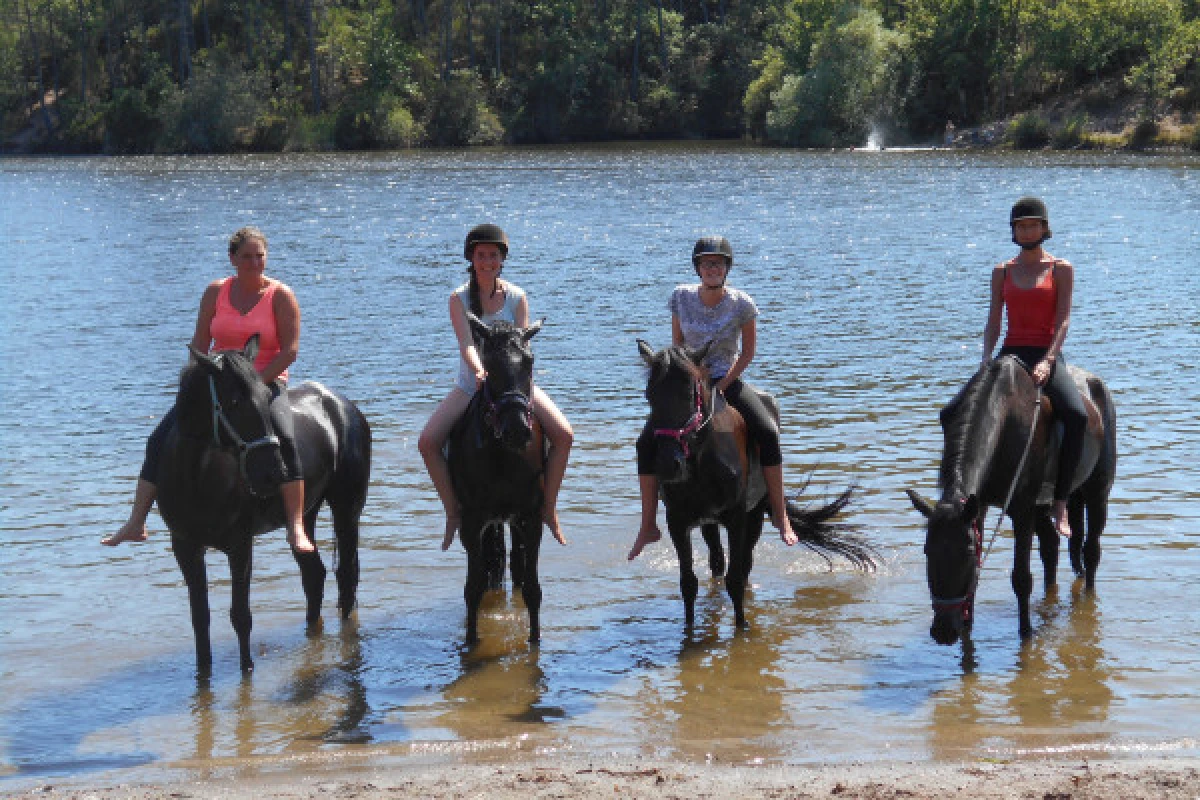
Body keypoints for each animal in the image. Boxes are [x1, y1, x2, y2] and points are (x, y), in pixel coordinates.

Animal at [157, 338, 369, 676]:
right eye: (232, 402)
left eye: (265, 399)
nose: (274, 473)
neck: (197, 478)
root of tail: (343, 405)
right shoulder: (185, 547)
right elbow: (200, 619)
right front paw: (203, 674)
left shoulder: (240, 546)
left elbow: (241, 616)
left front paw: (247, 672)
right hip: (304, 516)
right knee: (314, 576)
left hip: (347, 509)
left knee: (346, 576)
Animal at [448, 311, 547, 642]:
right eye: (488, 364)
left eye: (529, 361)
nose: (517, 429)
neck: (503, 453)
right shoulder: (471, 523)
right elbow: (472, 588)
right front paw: (471, 640)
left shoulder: (531, 519)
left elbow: (532, 589)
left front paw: (534, 640)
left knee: (516, 568)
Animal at [633, 338, 878, 633]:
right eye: (649, 395)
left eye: (691, 394)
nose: (668, 465)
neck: (702, 461)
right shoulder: (677, 521)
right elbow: (688, 583)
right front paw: (690, 631)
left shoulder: (738, 517)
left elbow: (736, 578)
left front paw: (742, 629)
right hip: (709, 522)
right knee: (717, 561)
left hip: (756, 513)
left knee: (745, 564)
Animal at [907, 355, 1113, 642]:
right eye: (927, 550)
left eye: (965, 552)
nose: (944, 631)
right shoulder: (979, 506)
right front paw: (967, 625)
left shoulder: (1022, 510)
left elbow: (1022, 578)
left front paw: (1026, 634)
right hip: (1043, 505)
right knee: (1050, 548)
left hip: (1097, 491)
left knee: (1091, 550)